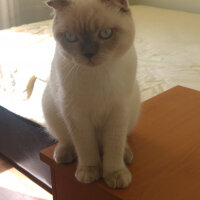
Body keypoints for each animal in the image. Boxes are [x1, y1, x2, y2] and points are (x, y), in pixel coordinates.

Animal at [42, 0, 140, 188]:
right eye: (71, 37)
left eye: (106, 33)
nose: (89, 54)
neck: (98, 74)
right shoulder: (77, 116)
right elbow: (86, 149)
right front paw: (89, 173)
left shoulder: (118, 113)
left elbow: (114, 148)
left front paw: (116, 175)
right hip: (51, 110)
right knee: (65, 140)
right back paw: (63, 154)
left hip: (132, 111)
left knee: (120, 141)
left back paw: (126, 155)